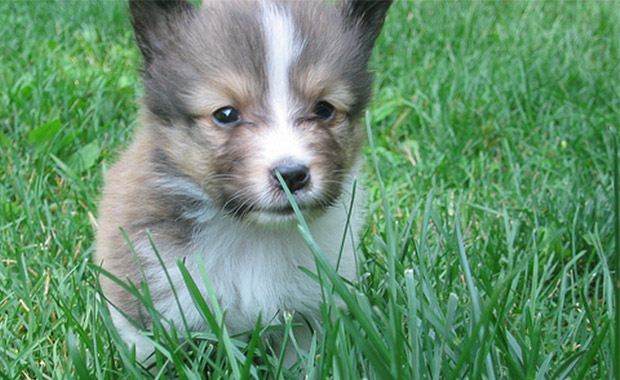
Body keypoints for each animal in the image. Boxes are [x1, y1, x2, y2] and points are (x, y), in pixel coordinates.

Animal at [94, 0, 390, 366]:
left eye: (324, 109)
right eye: (225, 114)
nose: (291, 175)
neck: (254, 235)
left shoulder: (310, 314)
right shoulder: (151, 296)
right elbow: (152, 354)